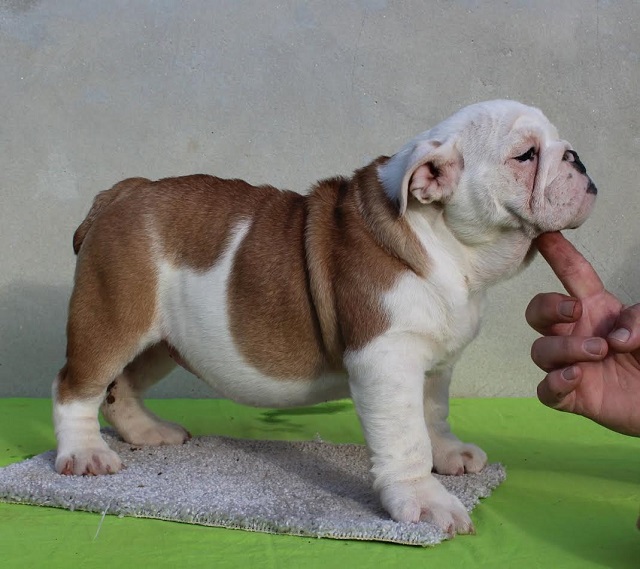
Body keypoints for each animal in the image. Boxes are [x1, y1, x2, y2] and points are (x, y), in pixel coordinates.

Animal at [52, 100, 596, 536]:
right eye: (526, 155)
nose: (577, 157)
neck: (446, 243)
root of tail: (121, 194)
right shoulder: (387, 358)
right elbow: (406, 436)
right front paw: (422, 501)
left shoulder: (435, 361)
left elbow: (432, 415)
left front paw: (447, 455)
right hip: (112, 316)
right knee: (77, 386)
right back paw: (84, 454)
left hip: (160, 339)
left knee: (121, 386)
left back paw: (147, 432)